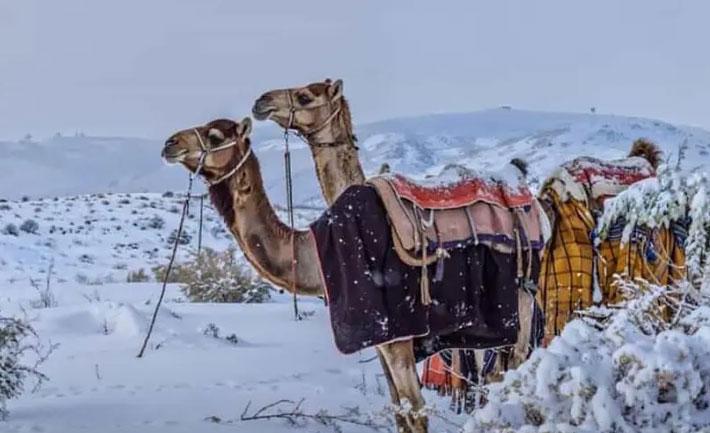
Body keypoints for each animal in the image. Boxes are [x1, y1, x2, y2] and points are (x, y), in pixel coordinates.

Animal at [162, 116, 428, 430]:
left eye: (215, 136)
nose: (170, 143)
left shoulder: (398, 333)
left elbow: (416, 413)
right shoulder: (380, 336)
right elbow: (399, 411)